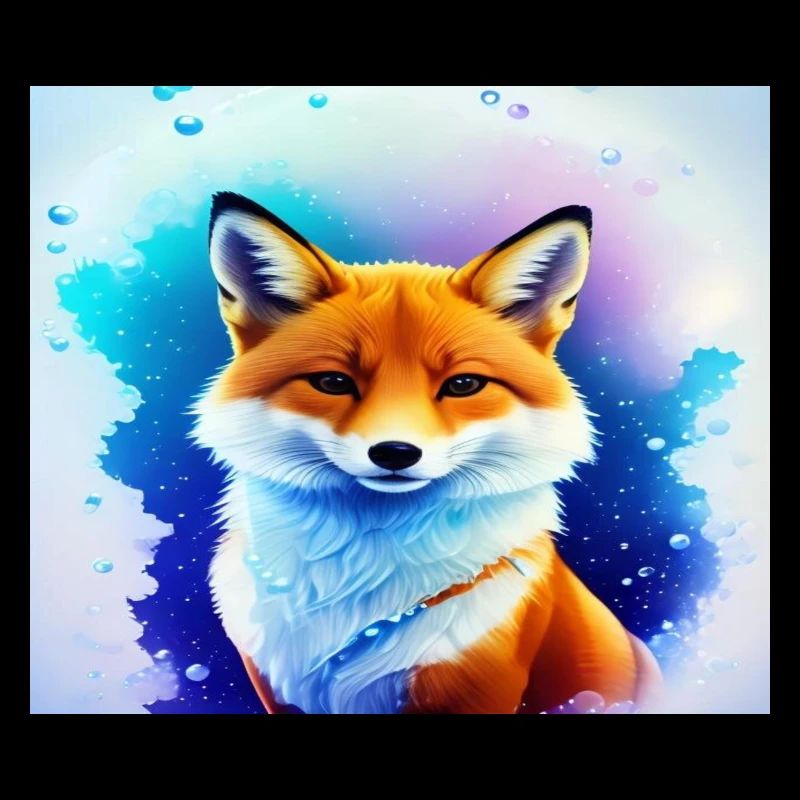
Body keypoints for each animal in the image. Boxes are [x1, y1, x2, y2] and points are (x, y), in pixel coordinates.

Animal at [192, 191, 662, 714]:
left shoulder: (477, 682)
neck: (361, 579)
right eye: (333, 382)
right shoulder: (277, 686)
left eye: (463, 385)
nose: (395, 452)